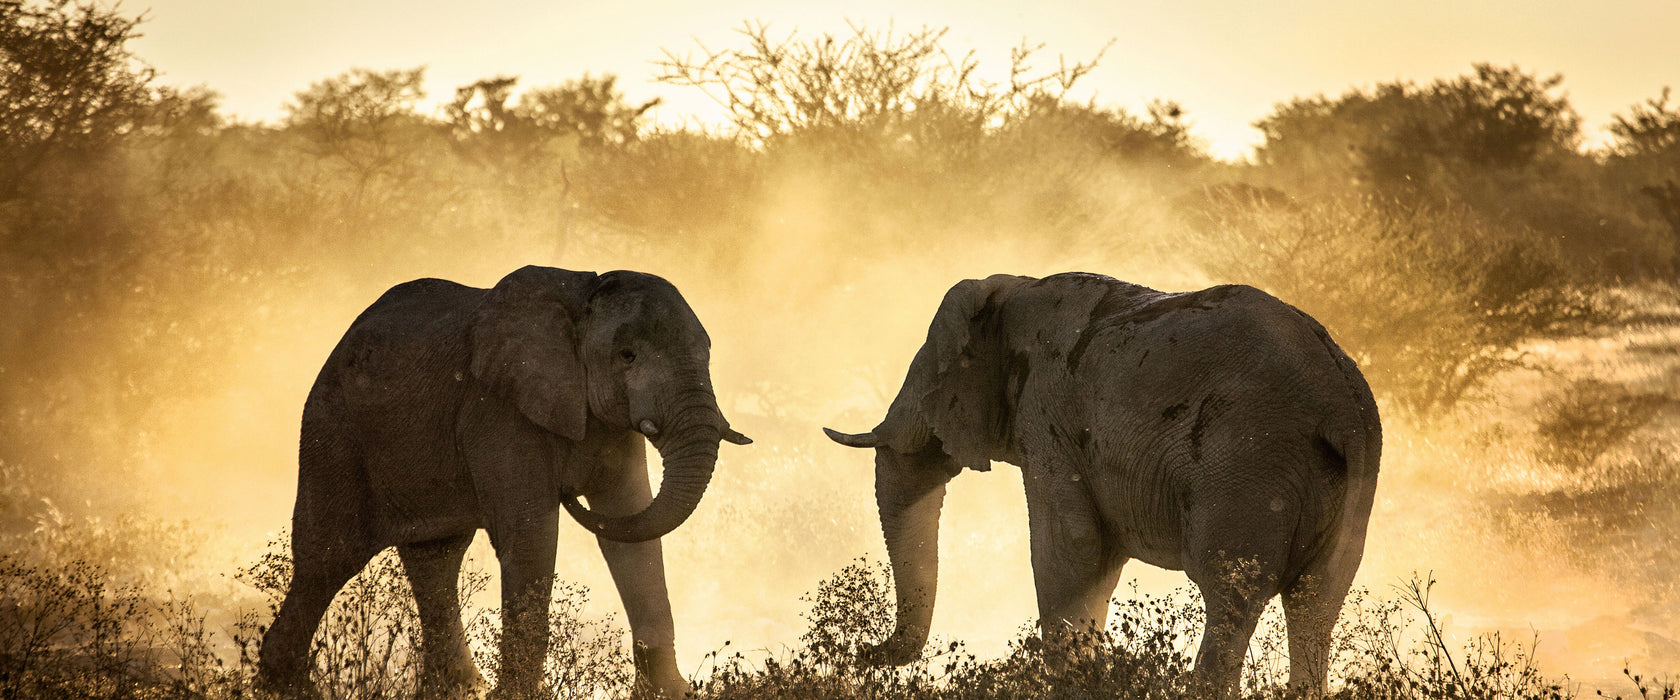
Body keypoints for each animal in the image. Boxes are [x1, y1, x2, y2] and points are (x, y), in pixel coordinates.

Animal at [257, 265, 756, 694]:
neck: (581, 298)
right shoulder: (496, 411)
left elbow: (632, 529)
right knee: (328, 558)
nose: (570, 493)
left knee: (435, 560)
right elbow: (533, 536)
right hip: (332, 432)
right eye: (627, 355)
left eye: (707, 354)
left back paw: (459, 688)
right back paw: (289, 686)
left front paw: (674, 693)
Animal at [823, 271, 1377, 691]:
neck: (1013, 289)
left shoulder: (1047, 413)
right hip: (1349, 481)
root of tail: (1340, 403)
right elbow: (1098, 558)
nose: (862, 651)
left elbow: (1070, 549)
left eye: (927, 376)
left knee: (1231, 591)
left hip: (1247, 462)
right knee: (1316, 602)